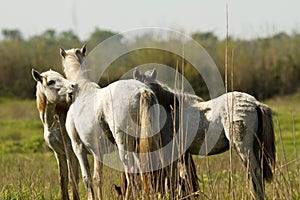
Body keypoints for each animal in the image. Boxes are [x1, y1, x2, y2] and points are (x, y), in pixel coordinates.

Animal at [31, 69, 79, 200]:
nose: (74, 86)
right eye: (51, 81)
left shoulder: (70, 151)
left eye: (63, 77)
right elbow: (63, 180)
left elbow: (73, 179)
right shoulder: (59, 153)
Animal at [59, 45, 163, 200]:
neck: (81, 91)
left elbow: (89, 179)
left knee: (131, 174)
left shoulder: (79, 148)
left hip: (124, 146)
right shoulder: (98, 151)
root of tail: (141, 91)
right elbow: (97, 178)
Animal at [134, 68, 276, 199]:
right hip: (256, 147)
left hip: (243, 148)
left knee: (255, 173)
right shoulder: (183, 155)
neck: (170, 110)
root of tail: (255, 103)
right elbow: (185, 179)